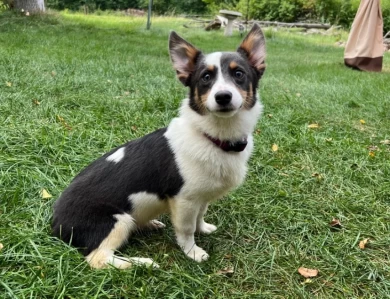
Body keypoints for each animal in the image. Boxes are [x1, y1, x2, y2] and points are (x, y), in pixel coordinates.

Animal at [52, 24, 266, 270]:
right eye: (205, 77)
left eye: (239, 74)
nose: (223, 96)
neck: (212, 137)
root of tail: (54, 224)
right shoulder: (184, 200)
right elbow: (186, 230)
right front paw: (192, 252)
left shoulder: (200, 198)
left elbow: (200, 216)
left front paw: (203, 228)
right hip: (117, 220)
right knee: (99, 258)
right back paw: (141, 263)